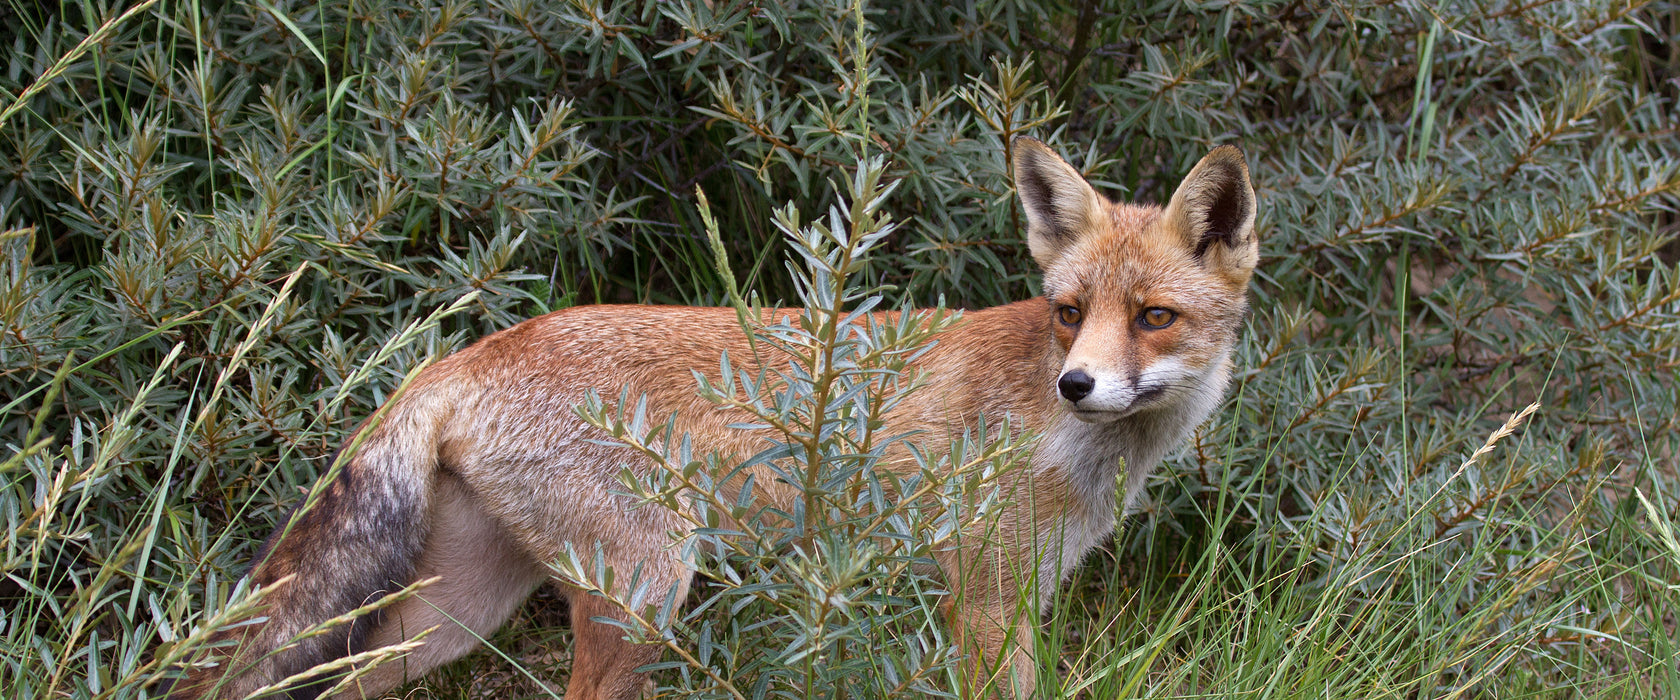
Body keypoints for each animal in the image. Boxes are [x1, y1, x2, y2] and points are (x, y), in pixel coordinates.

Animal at [170, 137, 1256, 698]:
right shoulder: (985, 599)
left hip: (459, 609)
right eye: (1070, 312)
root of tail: (473, 351)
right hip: (643, 595)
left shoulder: (1017, 595)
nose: (1078, 383)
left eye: (1153, 317)